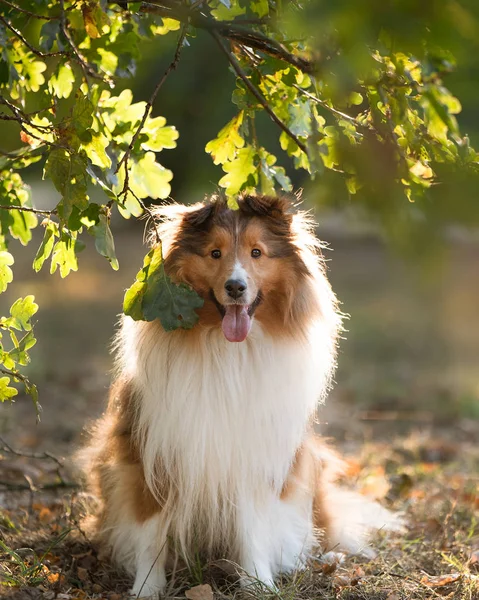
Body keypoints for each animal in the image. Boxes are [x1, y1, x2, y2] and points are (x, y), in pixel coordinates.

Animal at [80, 193, 400, 596]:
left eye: (257, 253)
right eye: (215, 253)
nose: (235, 287)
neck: (227, 350)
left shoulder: (251, 455)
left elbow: (253, 529)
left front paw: (258, 584)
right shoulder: (151, 452)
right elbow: (151, 530)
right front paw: (146, 588)